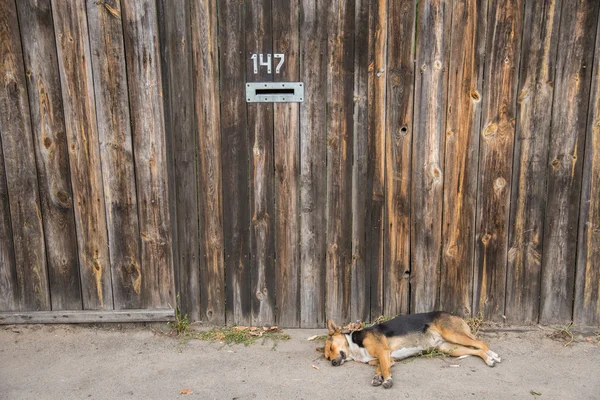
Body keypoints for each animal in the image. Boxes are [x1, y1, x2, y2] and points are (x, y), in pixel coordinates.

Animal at [324, 312, 502, 388]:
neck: (355, 345)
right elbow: (379, 367)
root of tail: (455, 315)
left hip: (453, 335)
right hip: (449, 348)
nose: (332, 363)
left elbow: (384, 369)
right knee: (475, 350)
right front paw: (377, 378)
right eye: (327, 357)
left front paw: (387, 380)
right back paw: (488, 359)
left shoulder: (382, 352)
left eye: (332, 347)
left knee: (481, 343)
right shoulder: (388, 358)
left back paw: (492, 356)